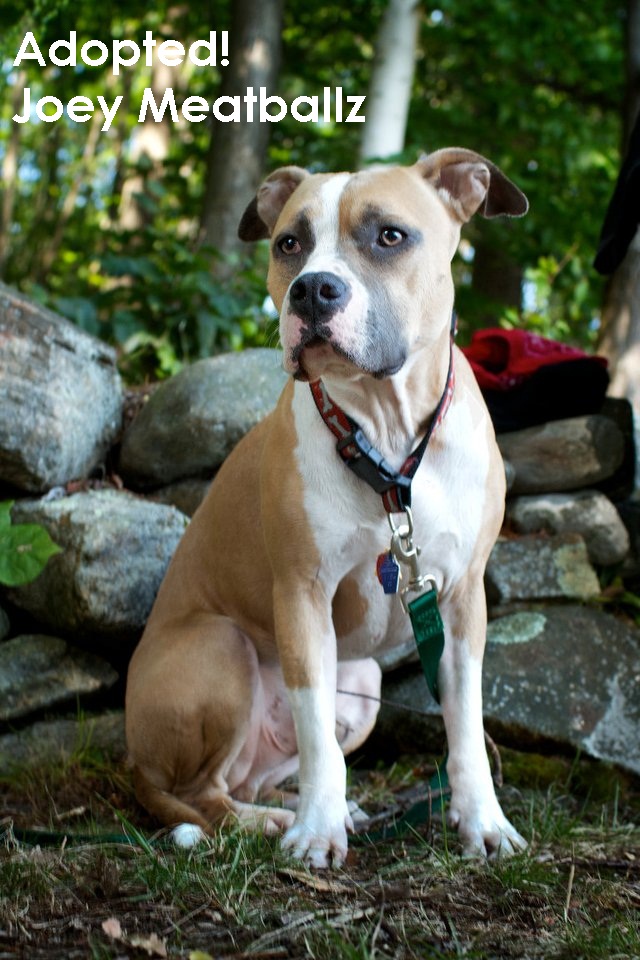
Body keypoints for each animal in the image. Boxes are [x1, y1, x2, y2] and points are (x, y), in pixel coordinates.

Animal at [125, 148, 528, 867]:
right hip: (221, 646)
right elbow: (314, 728)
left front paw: (482, 820)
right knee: (206, 795)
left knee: (250, 777)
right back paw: (278, 821)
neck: (386, 436)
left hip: (362, 685)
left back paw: (319, 806)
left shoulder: (462, 601)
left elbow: (465, 727)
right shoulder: (301, 593)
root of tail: (133, 765)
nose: (312, 290)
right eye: (290, 243)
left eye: (390, 236)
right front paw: (316, 832)